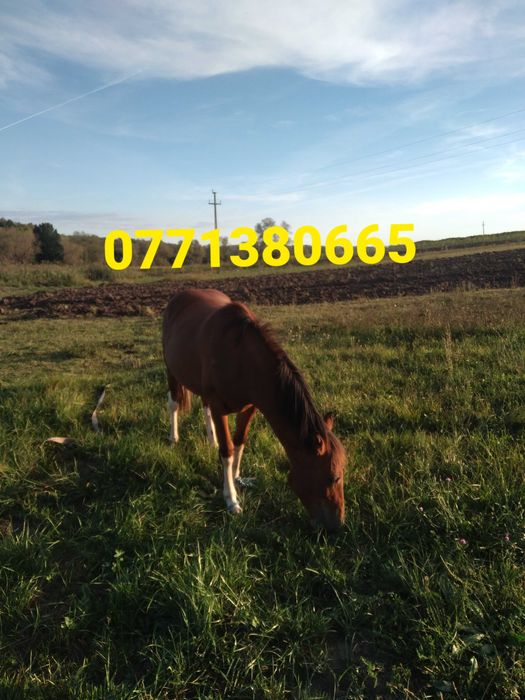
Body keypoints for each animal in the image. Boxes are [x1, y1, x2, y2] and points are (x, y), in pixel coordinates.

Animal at [162, 288, 346, 531]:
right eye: (333, 477)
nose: (338, 525)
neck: (240, 357)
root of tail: (180, 296)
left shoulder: (251, 407)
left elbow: (239, 441)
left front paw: (236, 477)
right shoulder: (220, 407)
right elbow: (227, 451)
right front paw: (231, 499)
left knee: (204, 408)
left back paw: (211, 440)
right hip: (171, 370)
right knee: (174, 403)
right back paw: (174, 437)